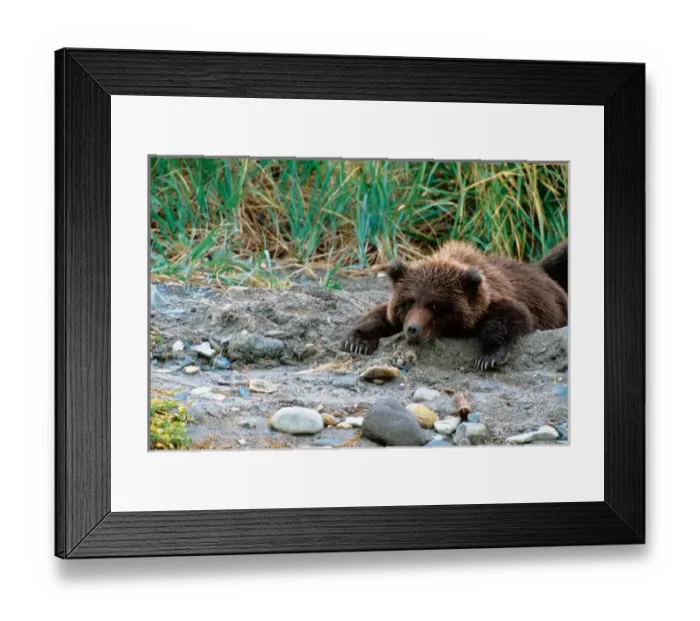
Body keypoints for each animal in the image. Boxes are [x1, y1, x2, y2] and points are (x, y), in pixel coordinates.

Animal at [340, 241, 568, 370]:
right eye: (409, 301)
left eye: (434, 306)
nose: (413, 329)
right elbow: (379, 315)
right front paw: (357, 341)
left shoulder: (495, 299)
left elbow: (511, 316)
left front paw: (490, 356)